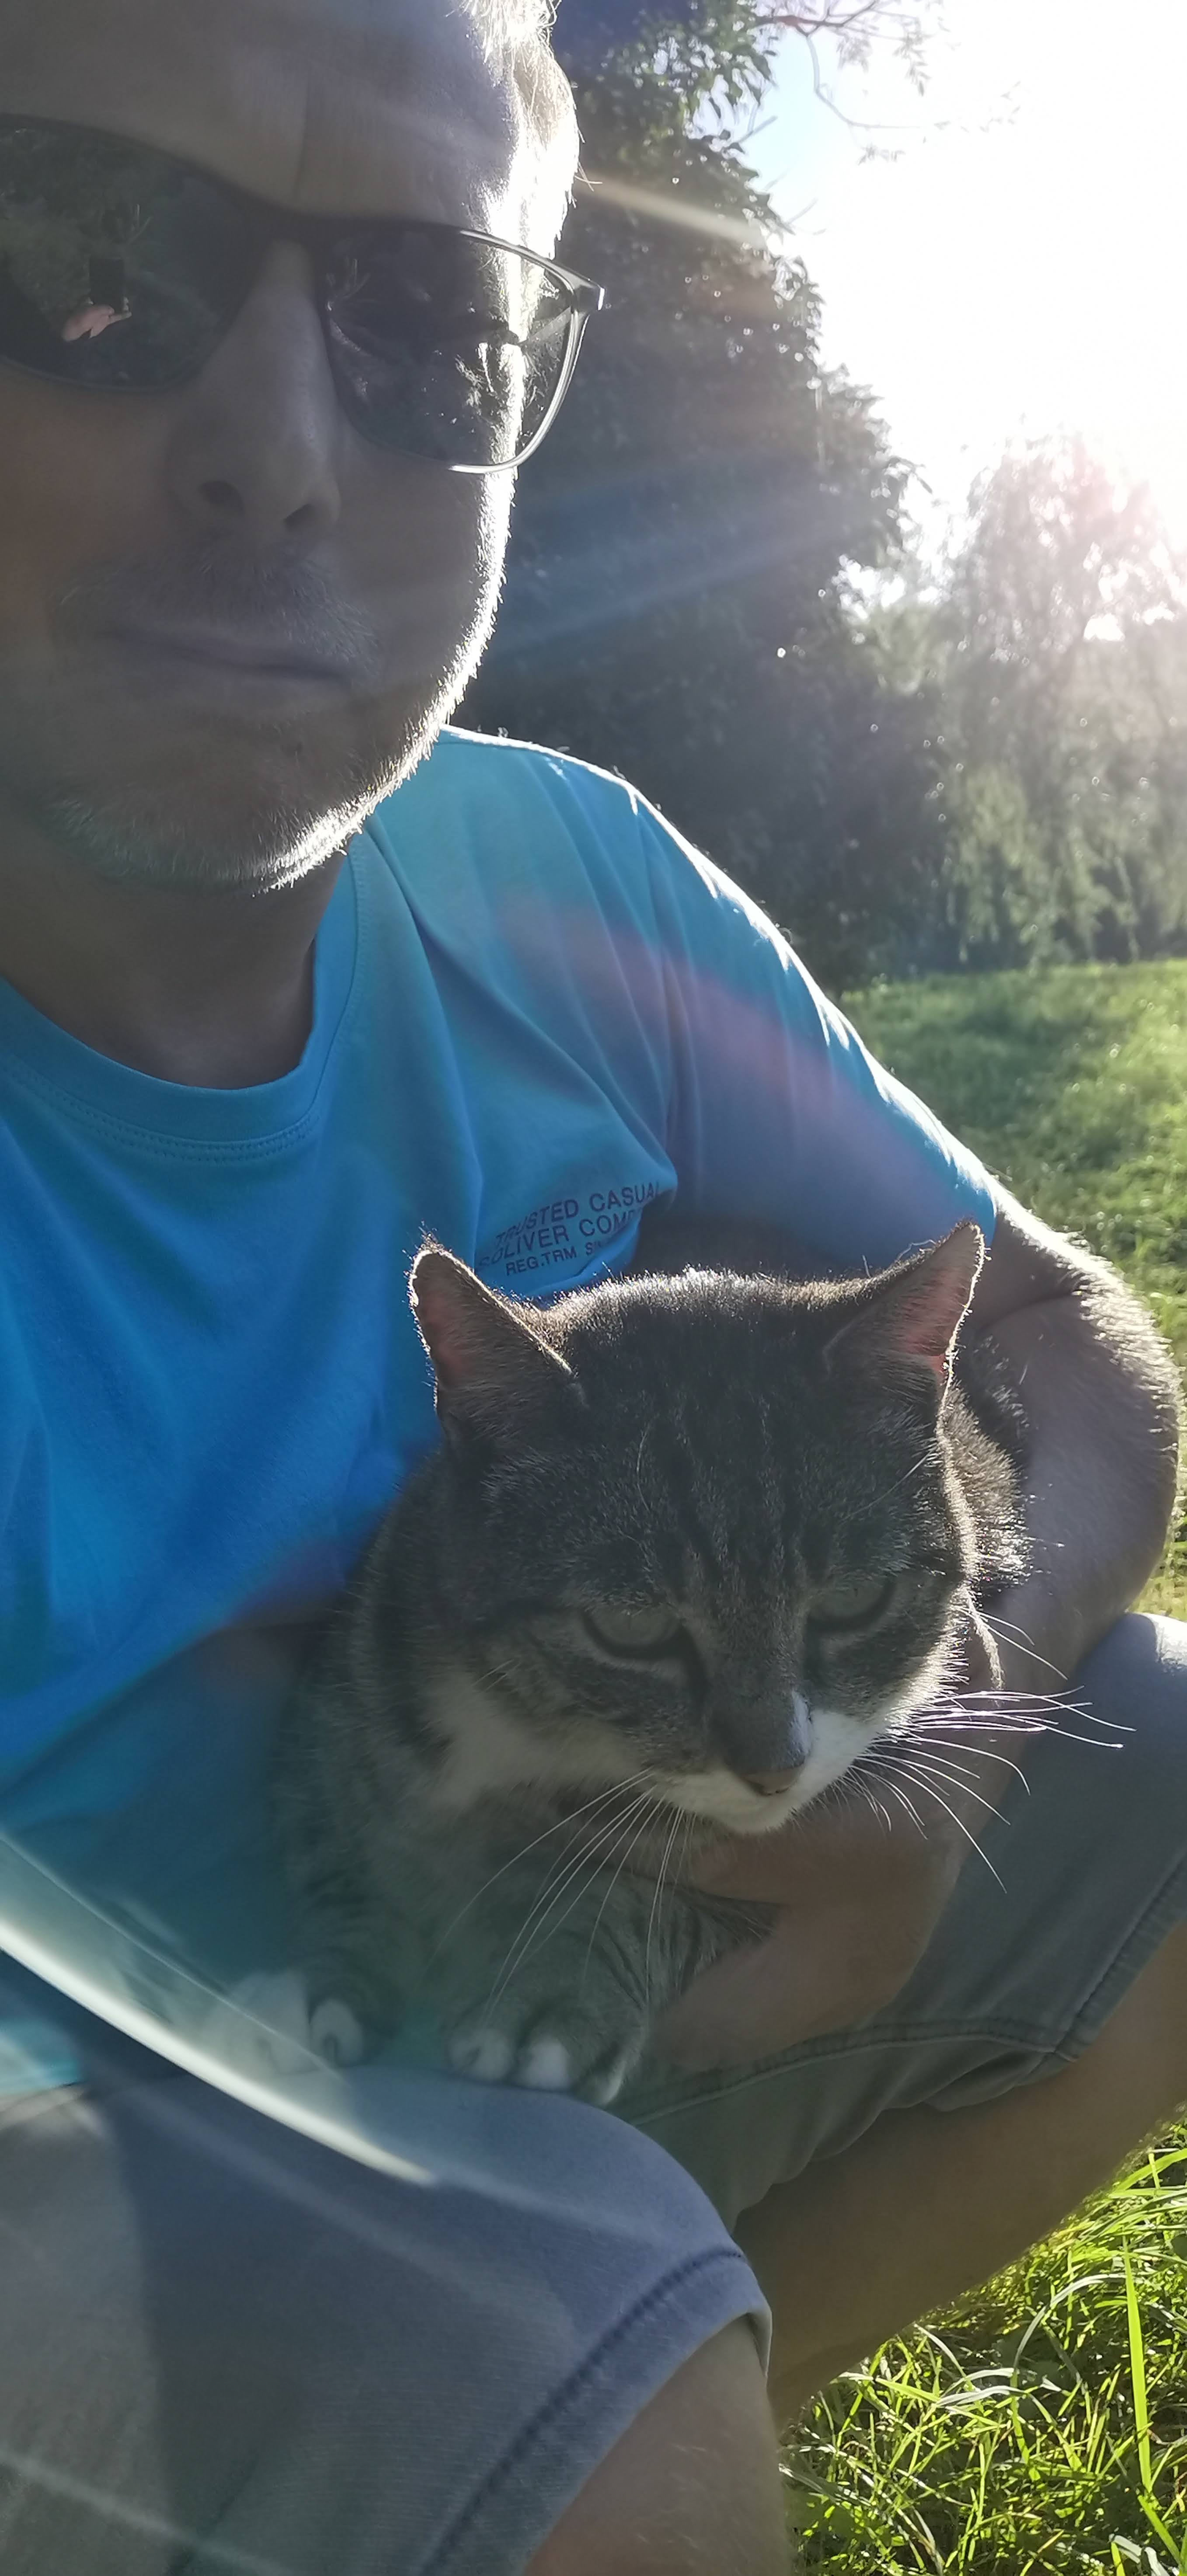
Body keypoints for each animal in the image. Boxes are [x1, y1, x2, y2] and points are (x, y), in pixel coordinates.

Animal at [244, 1213, 1029, 2107]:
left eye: (855, 1599)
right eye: (631, 1625)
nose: (776, 1768)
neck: (519, 1738)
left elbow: (649, 1896)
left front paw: (558, 1985)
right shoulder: (338, 1706)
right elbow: (341, 1848)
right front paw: (320, 1983)